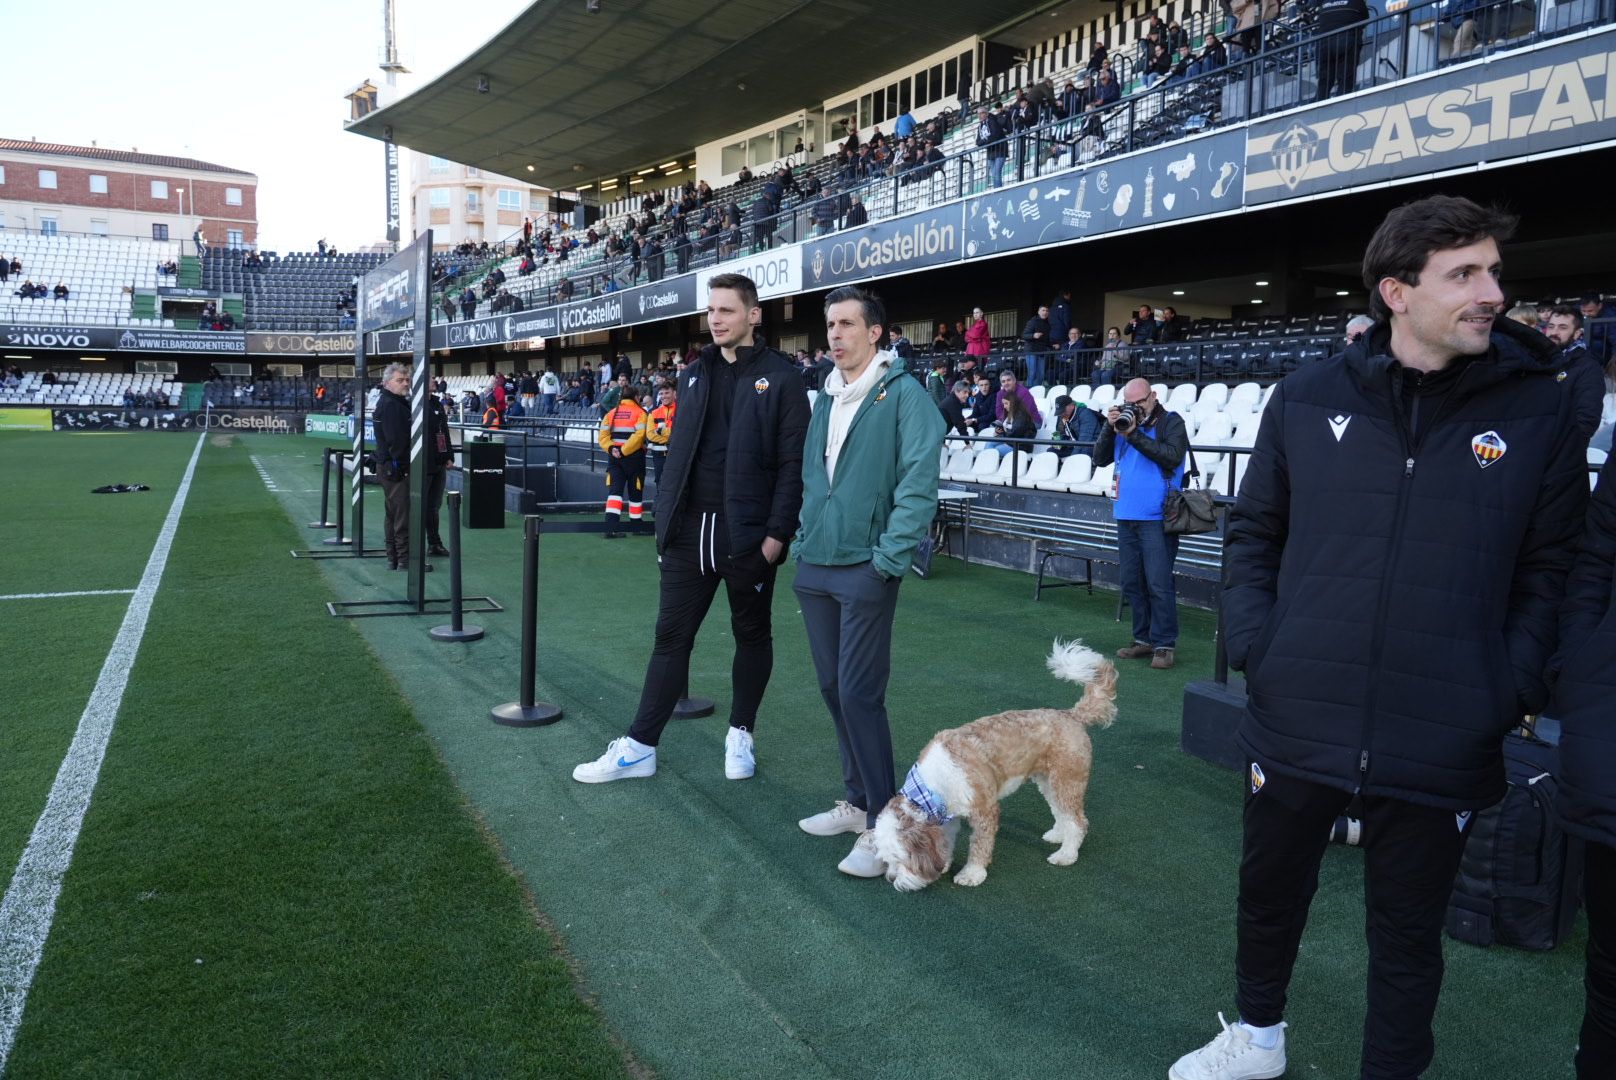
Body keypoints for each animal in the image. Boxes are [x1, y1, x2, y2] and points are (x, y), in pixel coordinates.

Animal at [872, 637, 1111, 892]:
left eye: (901, 860)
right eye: (886, 860)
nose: (892, 878)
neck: (930, 787)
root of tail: (1071, 715)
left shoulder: (985, 811)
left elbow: (980, 846)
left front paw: (971, 874)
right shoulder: (948, 814)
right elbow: (946, 839)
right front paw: (945, 863)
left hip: (1067, 780)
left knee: (1078, 821)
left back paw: (1066, 854)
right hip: (1049, 781)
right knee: (1061, 811)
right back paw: (1058, 835)